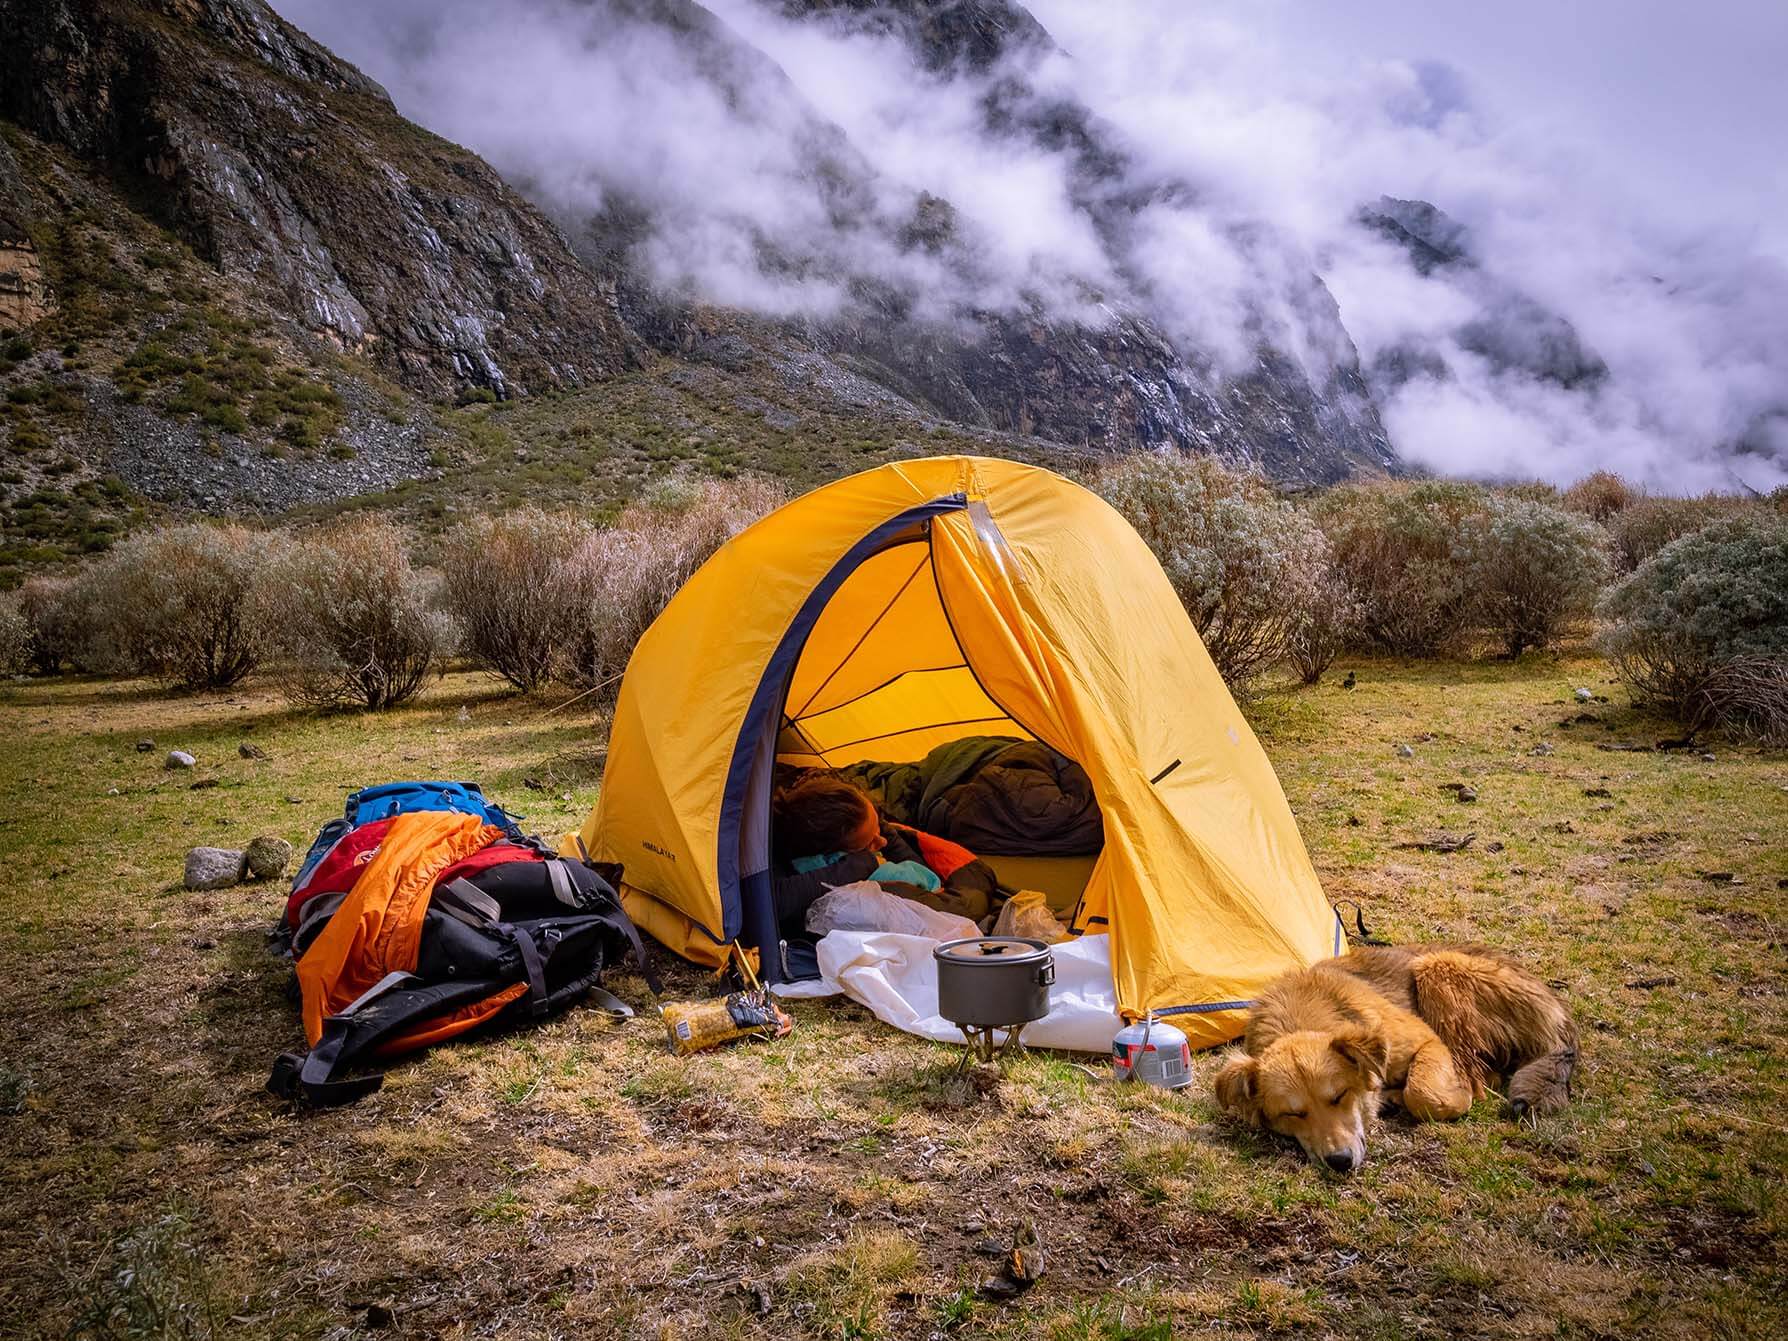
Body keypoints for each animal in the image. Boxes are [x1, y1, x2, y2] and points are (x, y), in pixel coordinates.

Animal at [1215, 944, 1580, 1172]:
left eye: (1339, 1096)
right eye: (1292, 1114)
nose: (1339, 1161)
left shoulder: (1429, 1042)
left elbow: (1424, 1094)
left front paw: (1450, 1097)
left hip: (1436, 966)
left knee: (1474, 1070)